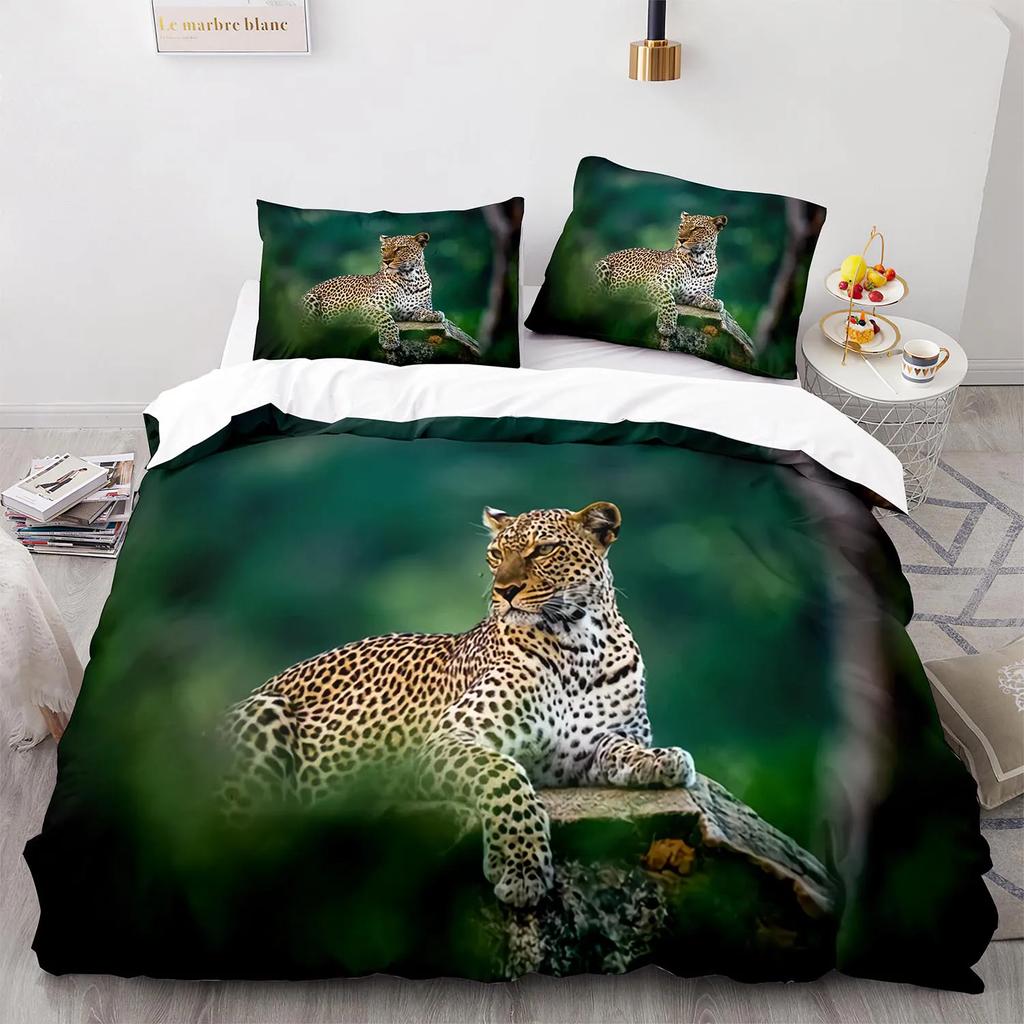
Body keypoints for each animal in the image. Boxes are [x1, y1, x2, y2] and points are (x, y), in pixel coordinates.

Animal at [219, 501, 696, 908]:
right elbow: (505, 776)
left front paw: (663, 760)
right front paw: (521, 867)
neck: (580, 643)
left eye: (543, 550)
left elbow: (623, 749)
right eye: (495, 554)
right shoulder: (451, 738)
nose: (505, 591)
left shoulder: (595, 747)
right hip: (265, 713)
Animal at [300, 232, 445, 362]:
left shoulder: (410, 311)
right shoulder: (366, 307)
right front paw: (390, 340)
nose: (386, 261)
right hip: (310, 300)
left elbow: (422, 310)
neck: (411, 279)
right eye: (383, 249)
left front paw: (435, 314)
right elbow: (385, 316)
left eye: (399, 248)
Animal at [594, 212, 728, 340]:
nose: (681, 239)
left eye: (696, 229)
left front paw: (714, 302)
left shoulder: (689, 295)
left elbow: (703, 296)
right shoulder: (653, 284)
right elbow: (667, 298)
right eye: (681, 227)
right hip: (602, 266)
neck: (700, 261)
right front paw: (667, 325)